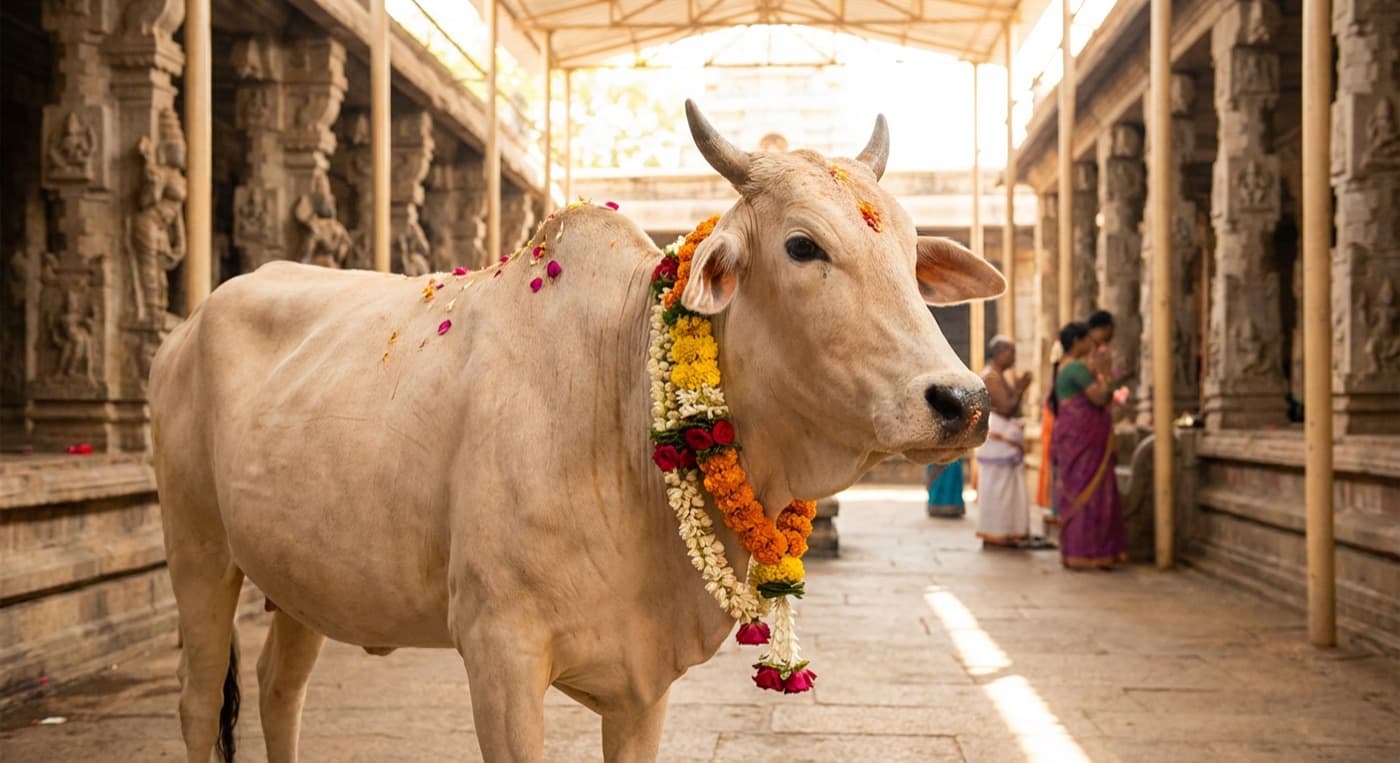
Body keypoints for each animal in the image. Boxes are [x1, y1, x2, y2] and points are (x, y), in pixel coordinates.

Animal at [149, 101, 1004, 763]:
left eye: (909, 253)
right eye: (803, 245)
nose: (961, 399)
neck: (619, 410)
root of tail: (185, 326)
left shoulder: (643, 685)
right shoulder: (500, 651)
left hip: (300, 574)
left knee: (277, 690)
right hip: (198, 549)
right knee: (196, 699)